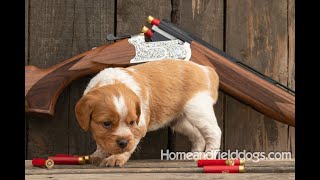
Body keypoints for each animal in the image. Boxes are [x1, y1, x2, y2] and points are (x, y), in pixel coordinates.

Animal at [75, 59, 221, 167]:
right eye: (106, 123)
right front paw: (99, 154)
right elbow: (101, 142)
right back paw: (194, 154)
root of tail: (206, 70)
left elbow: (130, 144)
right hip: (179, 121)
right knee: (198, 135)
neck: (113, 82)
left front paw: (116, 158)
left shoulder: (140, 126)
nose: (122, 142)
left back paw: (208, 157)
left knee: (214, 132)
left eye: (132, 122)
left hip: (198, 111)